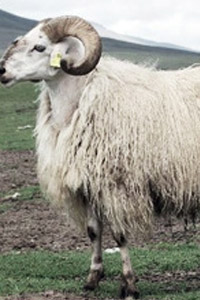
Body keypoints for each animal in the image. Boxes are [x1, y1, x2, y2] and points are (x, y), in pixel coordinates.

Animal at [0, 14, 199, 300]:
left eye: (39, 47)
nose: (1, 71)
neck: (79, 102)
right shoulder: (88, 184)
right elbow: (93, 232)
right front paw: (93, 278)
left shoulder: (115, 186)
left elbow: (120, 234)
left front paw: (129, 285)